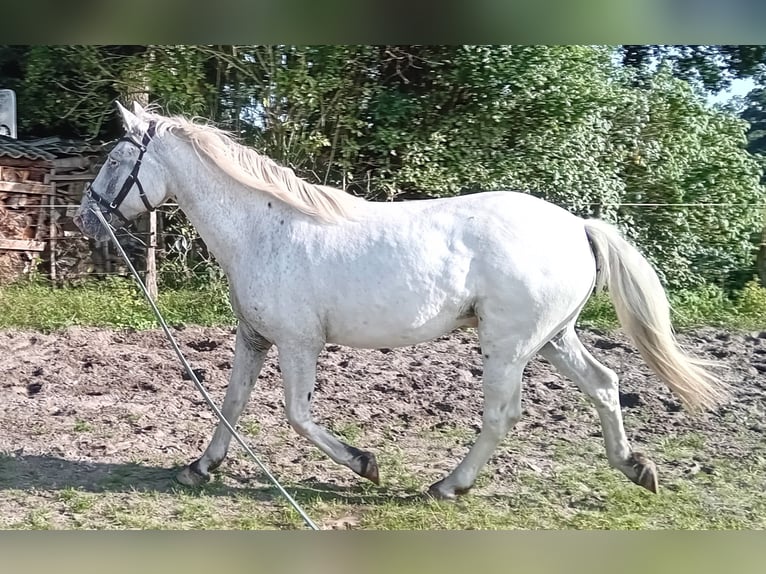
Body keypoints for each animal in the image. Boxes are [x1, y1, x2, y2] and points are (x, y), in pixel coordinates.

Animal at [75, 102, 728, 500]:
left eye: (113, 159)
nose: (85, 220)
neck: (265, 228)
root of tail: (576, 225)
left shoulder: (298, 342)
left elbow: (297, 414)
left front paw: (366, 464)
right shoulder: (253, 336)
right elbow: (231, 403)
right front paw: (200, 467)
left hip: (508, 344)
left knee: (502, 415)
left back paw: (448, 487)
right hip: (554, 338)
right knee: (604, 384)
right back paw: (635, 467)